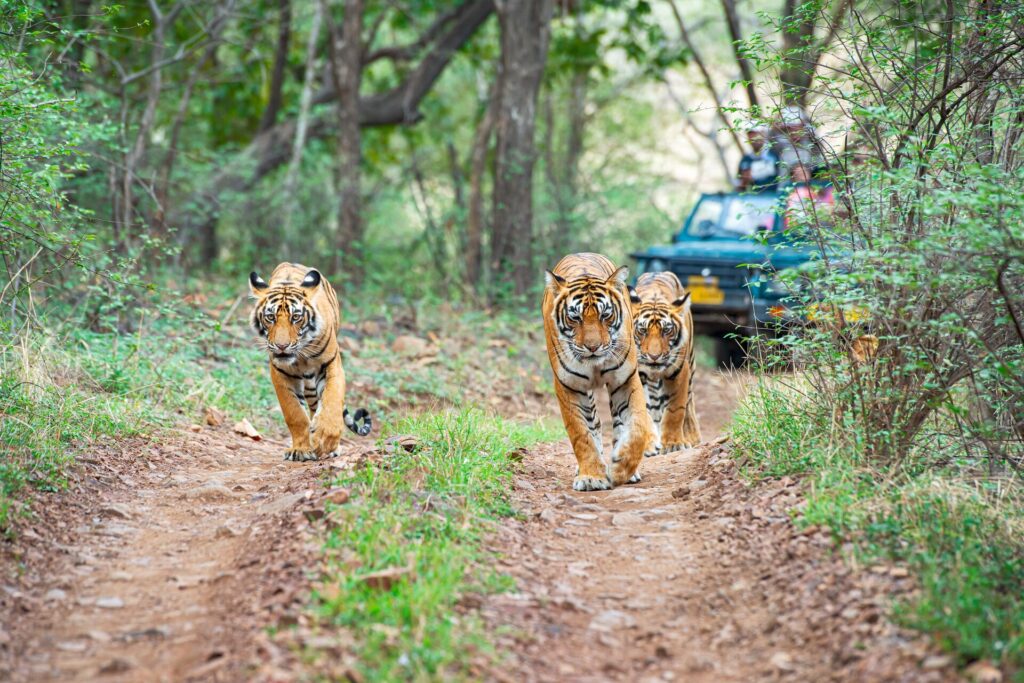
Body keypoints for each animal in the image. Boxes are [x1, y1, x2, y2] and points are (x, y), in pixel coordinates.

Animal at [248, 263, 371, 461]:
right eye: (270, 317)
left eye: (296, 317)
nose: (282, 346)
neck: (300, 354)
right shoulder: (280, 373)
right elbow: (295, 414)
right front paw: (300, 449)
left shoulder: (332, 365)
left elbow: (332, 400)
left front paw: (326, 437)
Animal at [542, 253, 656, 491]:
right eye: (575, 318)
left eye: (605, 315)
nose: (593, 347)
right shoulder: (569, 386)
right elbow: (582, 435)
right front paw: (591, 476)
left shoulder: (625, 380)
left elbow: (637, 427)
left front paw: (621, 468)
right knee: (594, 425)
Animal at [629, 271, 701, 453]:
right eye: (642, 330)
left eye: (666, 330)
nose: (654, 356)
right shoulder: (638, 374)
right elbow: (644, 409)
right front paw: (648, 444)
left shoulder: (679, 371)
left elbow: (676, 409)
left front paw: (673, 444)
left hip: (691, 362)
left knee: (689, 401)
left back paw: (692, 437)